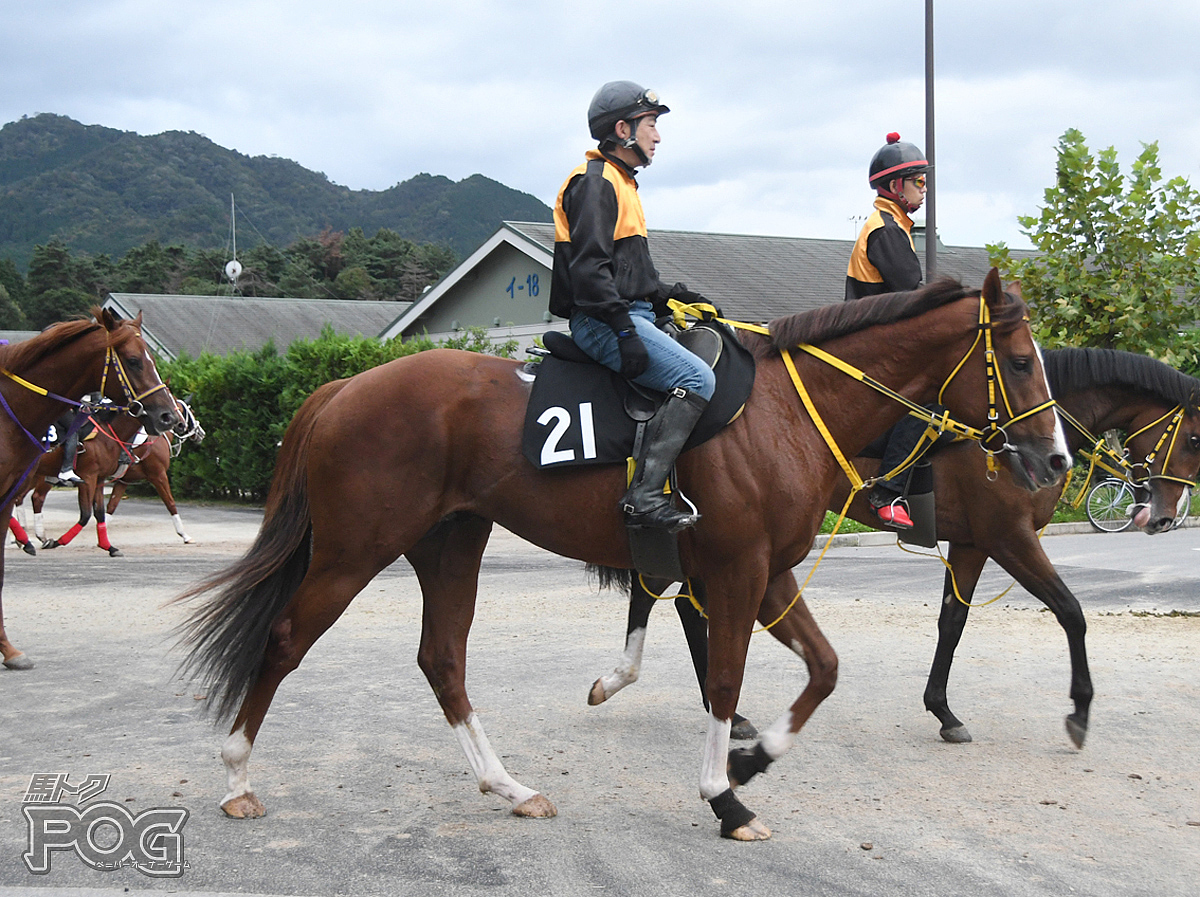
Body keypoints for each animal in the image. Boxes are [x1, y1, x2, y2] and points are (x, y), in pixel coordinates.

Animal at [0, 309, 180, 666]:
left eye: (152, 359)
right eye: (134, 360)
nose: (170, 417)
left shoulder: (97, 480)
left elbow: (97, 512)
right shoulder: (96, 476)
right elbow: (89, 513)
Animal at [174, 273, 1065, 839]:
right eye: (1021, 361)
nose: (1055, 460)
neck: (785, 410)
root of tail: (343, 390)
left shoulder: (770, 572)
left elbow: (824, 668)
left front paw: (752, 761)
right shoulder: (737, 572)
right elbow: (724, 680)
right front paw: (724, 794)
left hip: (450, 544)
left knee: (443, 660)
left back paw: (510, 785)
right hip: (353, 552)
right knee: (286, 639)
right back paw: (237, 777)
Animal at [592, 347, 1200, 748]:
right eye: (1194, 437)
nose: (1166, 516)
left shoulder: (972, 543)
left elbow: (952, 622)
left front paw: (943, 710)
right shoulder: (1009, 538)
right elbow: (1071, 612)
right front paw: (1079, 711)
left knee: (675, 600)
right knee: (661, 595)